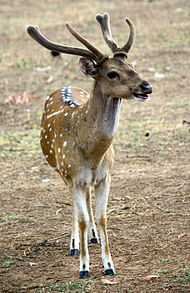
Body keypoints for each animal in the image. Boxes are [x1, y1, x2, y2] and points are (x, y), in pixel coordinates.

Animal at [26, 13, 152, 276]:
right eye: (112, 73)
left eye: (132, 67)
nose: (147, 87)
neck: (92, 153)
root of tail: (64, 86)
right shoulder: (72, 174)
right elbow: (81, 216)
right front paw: (84, 266)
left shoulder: (106, 175)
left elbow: (102, 216)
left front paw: (109, 265)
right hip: (61, 169)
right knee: (77, 207)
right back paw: (75, 244)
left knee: (87, 202)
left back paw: (92, 237)